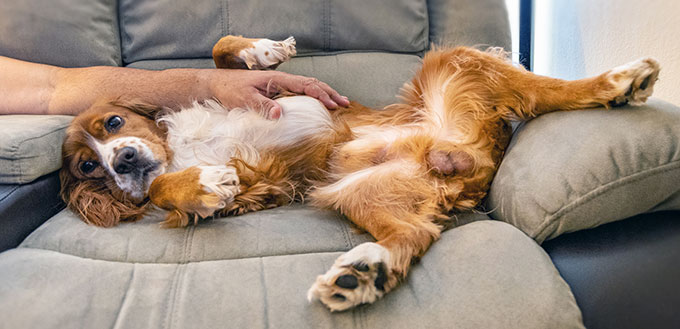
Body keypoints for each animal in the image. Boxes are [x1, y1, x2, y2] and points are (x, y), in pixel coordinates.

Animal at [59, 35, 660, 310]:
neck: (178, 146)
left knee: (544, 91)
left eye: (113, 122)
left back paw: (619, 82)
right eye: (88, 166)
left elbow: (221, 52)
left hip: (453, 61)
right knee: (411, 233)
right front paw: (200, 183)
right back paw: (364, 273)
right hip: (353, 191)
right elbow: (168, 189)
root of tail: (465, 161)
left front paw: (263, 51)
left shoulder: (250, 97)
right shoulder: (255, 186)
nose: (121, 159)